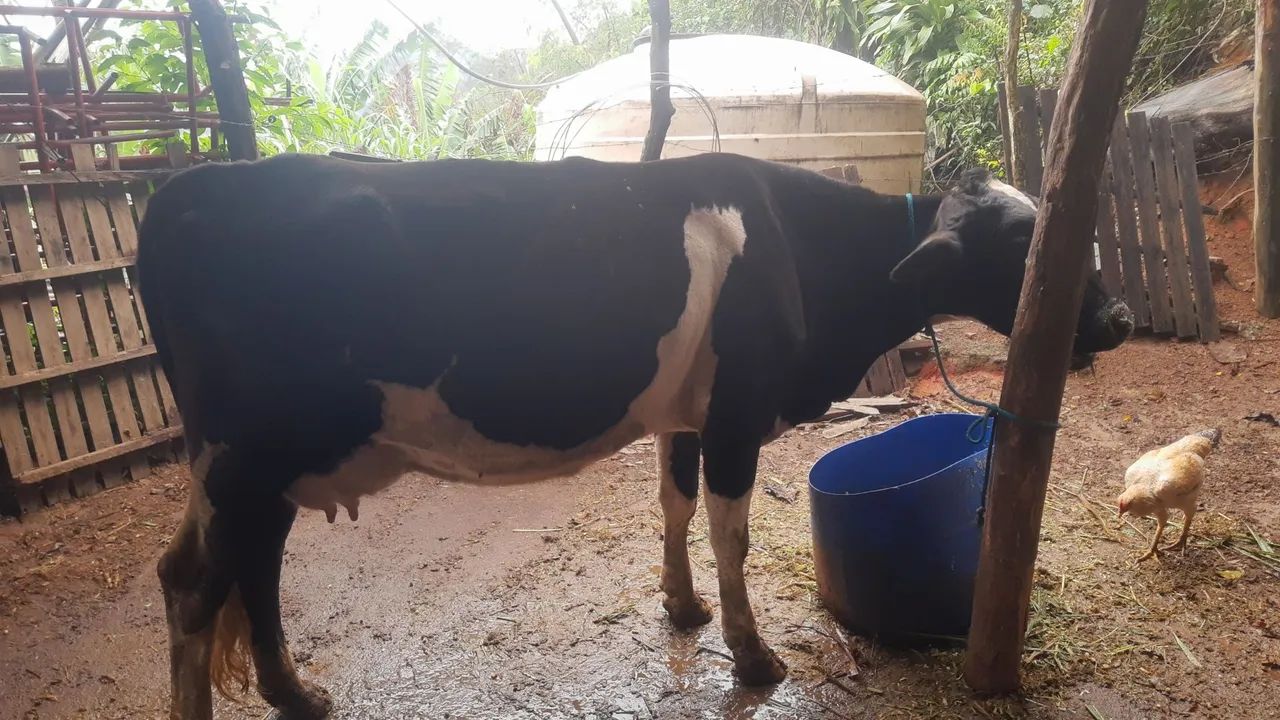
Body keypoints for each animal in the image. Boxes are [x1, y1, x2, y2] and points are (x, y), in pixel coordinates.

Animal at [137, 152, 1133, 719]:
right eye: (1027, 248)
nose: (1119, 317)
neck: (803, 251)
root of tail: (183, 190)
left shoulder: (686, 415)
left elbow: (674, 503)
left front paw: (682, 608)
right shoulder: (738, 411)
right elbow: (732, 532)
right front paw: (753, 655)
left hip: (257, 467)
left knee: (244, 571)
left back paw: (297, 694)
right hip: (241, 457)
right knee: (194, 584)